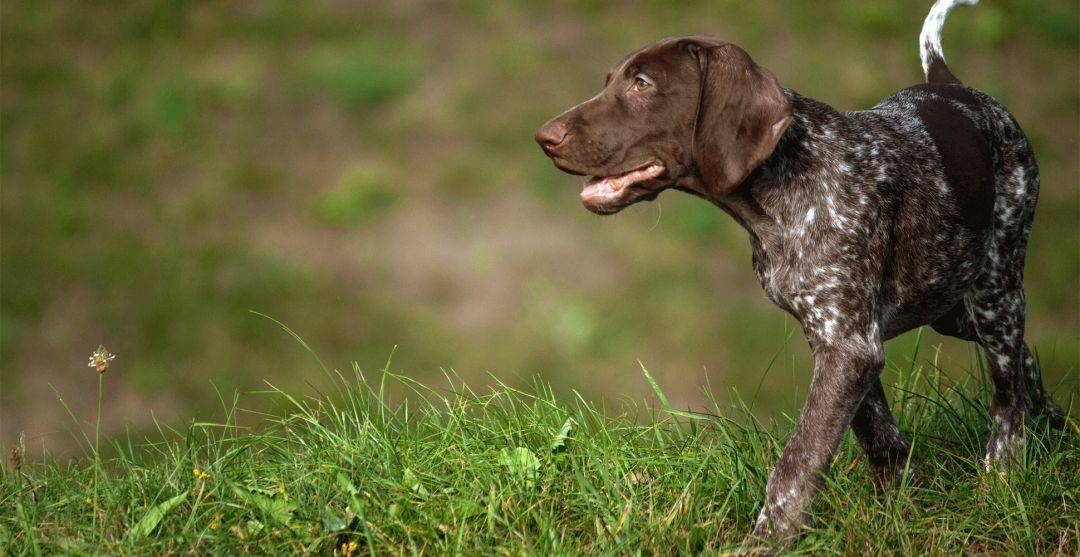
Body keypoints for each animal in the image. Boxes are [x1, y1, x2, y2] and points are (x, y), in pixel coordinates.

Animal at [531, 0, 1062, 544]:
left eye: (642, 84)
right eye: (611, 81)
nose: (544, 137)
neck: (782, 186)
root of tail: (953, 85)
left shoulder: (848, 346)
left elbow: (798, 460)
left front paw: (767, 541)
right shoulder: (841, 339)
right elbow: (877, 434)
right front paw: (900, 512)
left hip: (994, 284)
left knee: (1006, 393)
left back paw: (1004, 475)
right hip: (949, 302)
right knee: (1021, 361)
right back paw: (1051, 423)